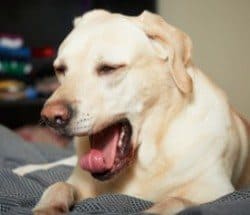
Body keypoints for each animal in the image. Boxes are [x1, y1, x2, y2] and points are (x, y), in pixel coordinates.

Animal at [14, 10, 250, 215]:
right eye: (60, 69)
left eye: (108, 68)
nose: (50, 117)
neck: (147, 159)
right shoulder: (80, 183)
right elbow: (58, 185)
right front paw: (46, 207)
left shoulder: (216, 190)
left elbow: (173, 201)